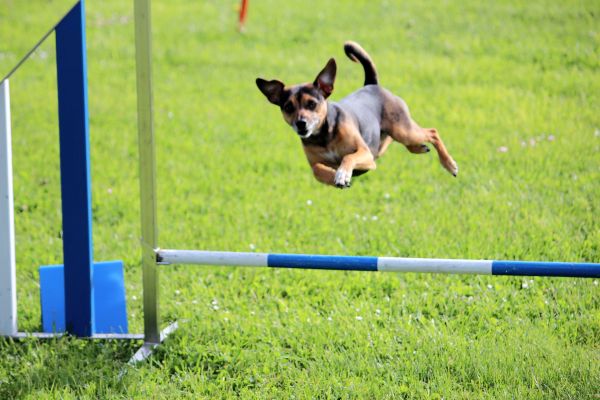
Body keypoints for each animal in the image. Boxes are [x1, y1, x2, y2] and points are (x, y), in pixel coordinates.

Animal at [255, 41, 458, 188]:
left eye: (312, 104)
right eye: (288, 107)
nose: (301, 123)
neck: (324, 136)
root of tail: (372, 85)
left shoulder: (365, 154)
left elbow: (348, 157)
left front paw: (342, 174)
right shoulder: (316, 163)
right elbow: (317, 170)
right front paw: (333, 176)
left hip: (402, 130)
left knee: (432, 132)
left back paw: (449, 164)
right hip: (386, 140)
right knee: (397, 139)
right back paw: (419, 148)